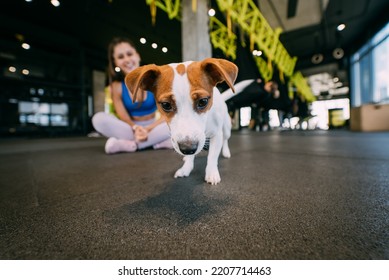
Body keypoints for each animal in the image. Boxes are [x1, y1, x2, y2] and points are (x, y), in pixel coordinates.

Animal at [126, 57, 238, 185]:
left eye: (203, 101)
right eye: (166, 105)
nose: (188, 148)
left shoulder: (216, 135)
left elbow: (212, 156)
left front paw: (212, 173)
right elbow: (190, 157)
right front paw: (186, 167)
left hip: (226, 128)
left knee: (225, 140)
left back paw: (226, 152)